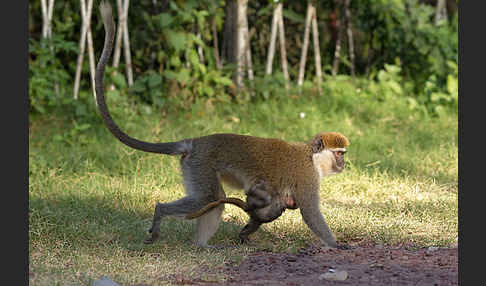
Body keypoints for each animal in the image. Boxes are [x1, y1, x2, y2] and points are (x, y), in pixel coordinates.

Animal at [97, 1, 352, 248]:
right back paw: (162, 213)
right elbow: (310, 212)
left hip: (193, 167)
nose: (344, 164)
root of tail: (196, 143)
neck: (312, 157)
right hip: (200, 165)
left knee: (214, 201)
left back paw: (201, 246)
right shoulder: (307, 178)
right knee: (207, 198)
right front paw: (335, 244)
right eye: (339, 153)